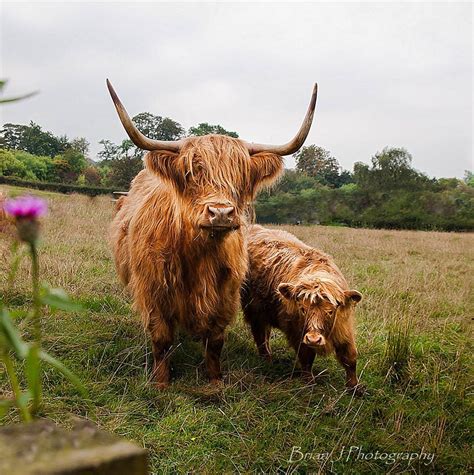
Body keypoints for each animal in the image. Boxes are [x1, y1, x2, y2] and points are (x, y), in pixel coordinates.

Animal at [105, 80, 316, 388]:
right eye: (191, 173)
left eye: (240, 178)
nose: (221, 213)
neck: (199, 255)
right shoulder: (153, 291)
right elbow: (161, 338)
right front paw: (161, 383)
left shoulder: (225, 294)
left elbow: (215, 341)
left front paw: (215, 381)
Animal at [241, 225, 362, 392]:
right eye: (303, 309)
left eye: (330, 311)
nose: (313, 339)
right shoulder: (297, 332)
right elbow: (306, 358)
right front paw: (309, 382)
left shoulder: (343, 328)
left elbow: (350, 357)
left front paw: (355, 387)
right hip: (255, 311)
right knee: (260, 336)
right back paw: (267, 360)